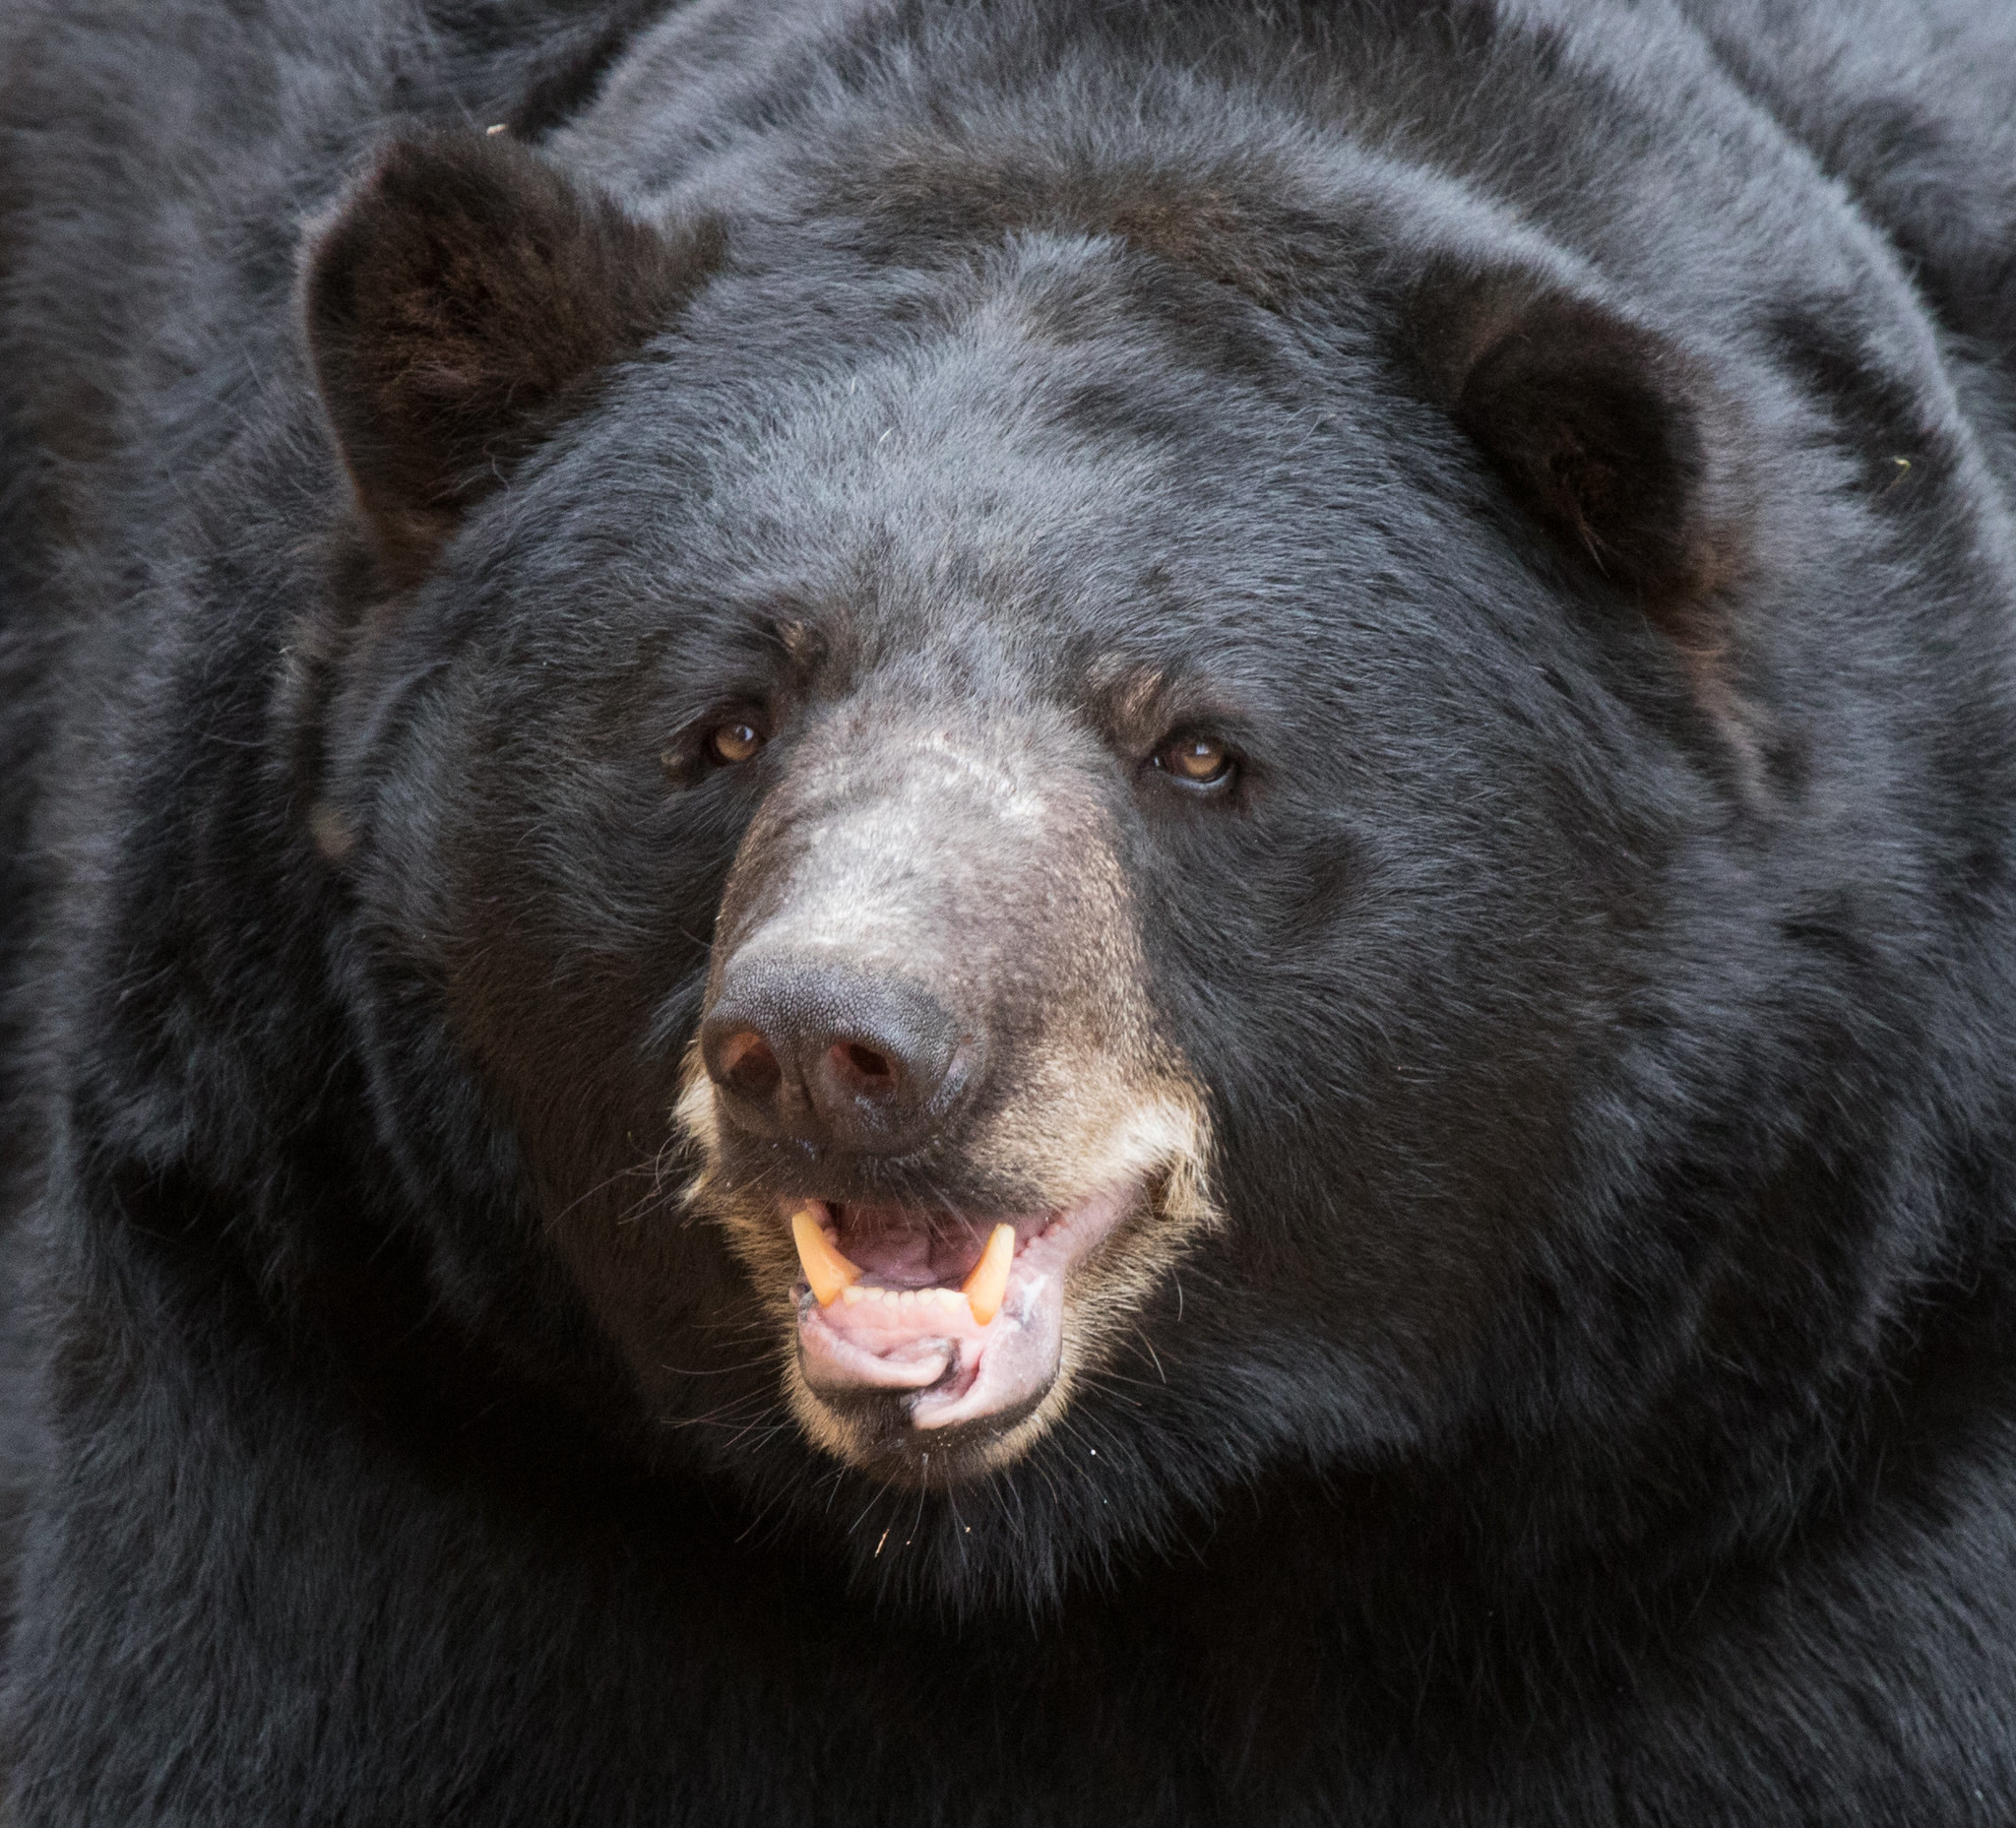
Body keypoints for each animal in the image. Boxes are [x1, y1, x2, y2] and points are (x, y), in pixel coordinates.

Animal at [4, 0, 2016, 1813]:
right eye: (727, 722)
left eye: (1197, 749)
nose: (830, 1047)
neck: (1042, 1566)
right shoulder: (335, 1353)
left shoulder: (1787, 1439)